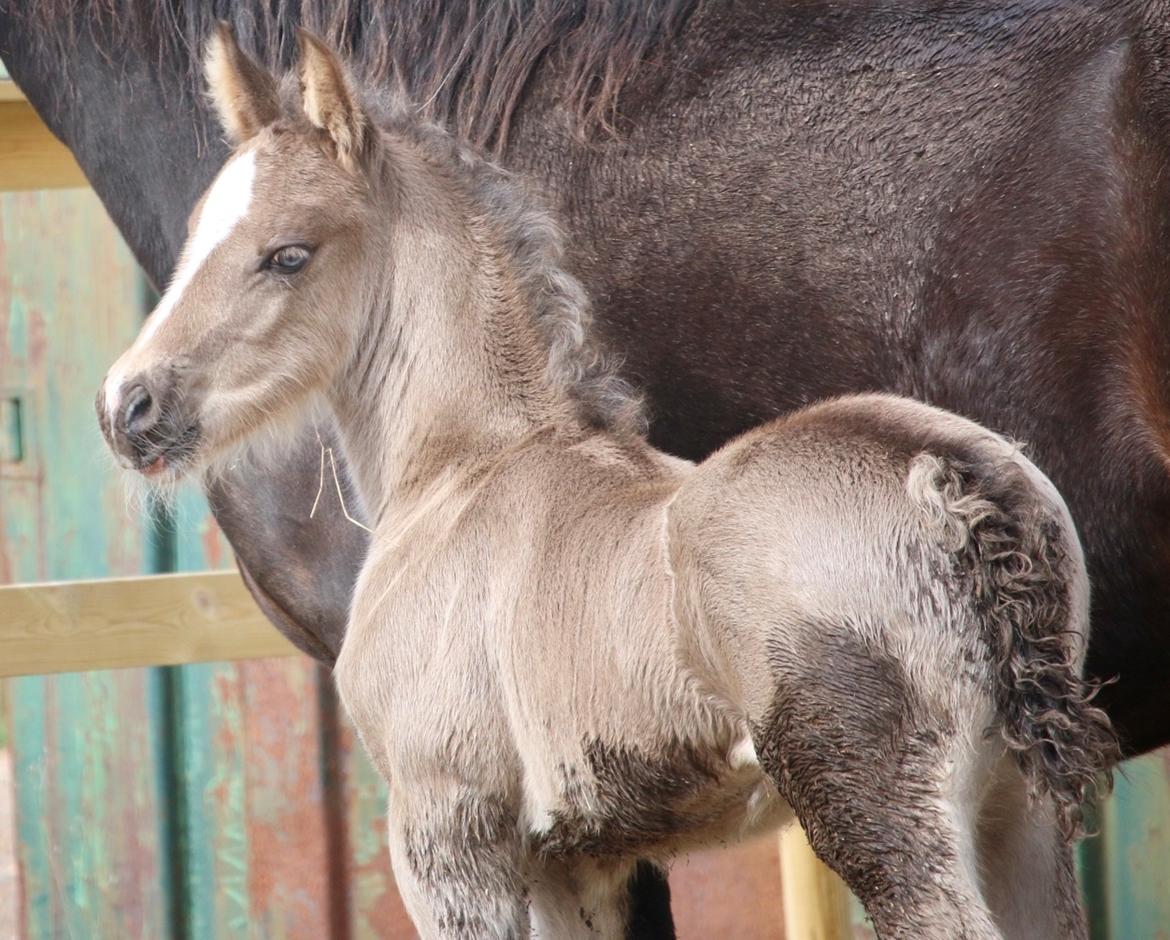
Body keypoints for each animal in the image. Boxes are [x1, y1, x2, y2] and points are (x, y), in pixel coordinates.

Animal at [6, 1, 1170, 931]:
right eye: (199, 228)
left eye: (288, 253)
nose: (131, 407)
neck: (470, 470)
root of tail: (951, 479)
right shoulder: (583, 858)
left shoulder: (447, 838)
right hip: (1017, 814)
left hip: (876, 809)